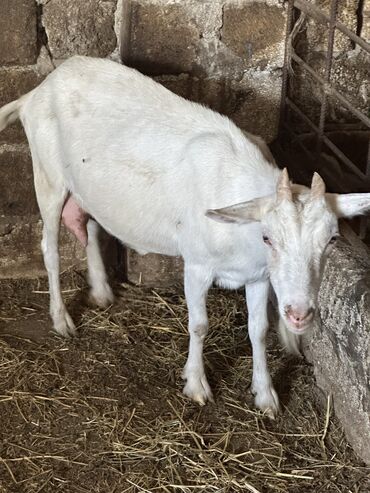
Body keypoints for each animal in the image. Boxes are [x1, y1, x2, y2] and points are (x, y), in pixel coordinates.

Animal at [0, 56, 370, 416]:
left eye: (332, 240)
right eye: (268, 238)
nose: (299, 314)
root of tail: (36, 92)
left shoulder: (259, 275)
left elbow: (259, 330)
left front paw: (265, 395)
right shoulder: (197, 265)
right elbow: (199, 325)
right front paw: (196, 384)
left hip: (87, 186)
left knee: (89, 223)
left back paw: (102, 291)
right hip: (47, 174)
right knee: (50, 248)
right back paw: (61, 319)